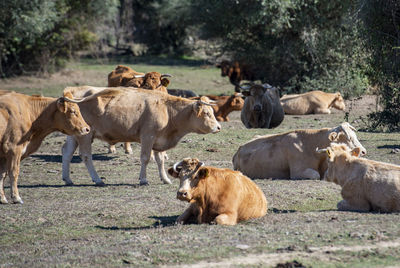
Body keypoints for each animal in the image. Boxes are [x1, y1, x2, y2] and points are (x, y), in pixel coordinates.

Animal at [61, 87, 222, 186]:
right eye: (206, 113)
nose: (219, 127)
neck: (167, 110)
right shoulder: (147, 137)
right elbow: (145, 158)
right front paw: (143, 179)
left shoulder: (159, 140)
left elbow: (160, 160)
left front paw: (165, 179)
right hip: (86, 136)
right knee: (86, 155)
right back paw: (97, 179)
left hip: (76, 135)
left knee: (67, 153)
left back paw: (67, 179)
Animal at [233, 122, 368, 180]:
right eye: (348, 138)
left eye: (355, 136)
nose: (363, 151)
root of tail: (239, 149)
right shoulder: (297, 171)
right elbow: (316, 175)